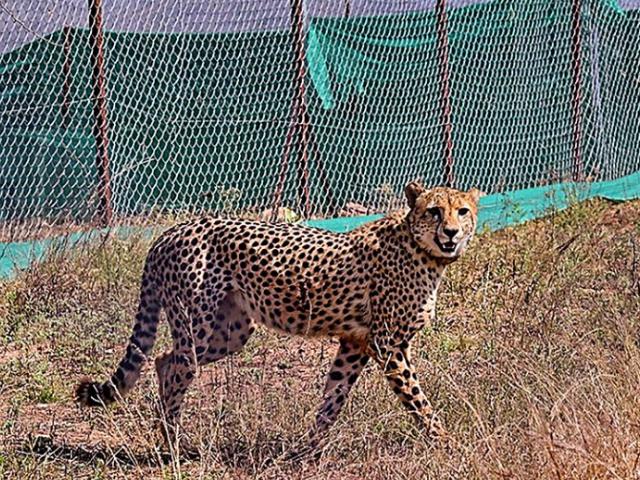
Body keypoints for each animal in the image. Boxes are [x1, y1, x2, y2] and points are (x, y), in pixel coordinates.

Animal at [76, 181, 480, 454]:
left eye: (462, 211)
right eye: (434, 211)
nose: (451, 232)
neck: (422, 249)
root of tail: (170, 232)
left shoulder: (355, 343)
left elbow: (333, 397)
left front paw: (308, 449)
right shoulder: (387, 345)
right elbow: (417, 399)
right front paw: (445, 441)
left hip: (231, 332)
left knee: (163, 360)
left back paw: (169, 435)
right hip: (198, 324)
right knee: (177, 367)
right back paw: (174, 446)